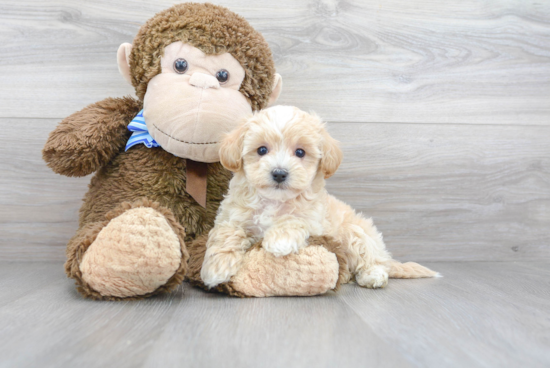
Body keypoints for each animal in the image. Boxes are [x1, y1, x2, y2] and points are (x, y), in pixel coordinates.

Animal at [203, 105, 440, 288]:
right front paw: (216, 268)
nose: (279, 173)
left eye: (300, 152)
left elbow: (295, 220)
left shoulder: (314, 221)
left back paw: (372, 275)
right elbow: (226, 233)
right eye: (261, 150)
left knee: (373, 259)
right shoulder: (231, 216)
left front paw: (280, 240)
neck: (275, 201)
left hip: (357, 232)